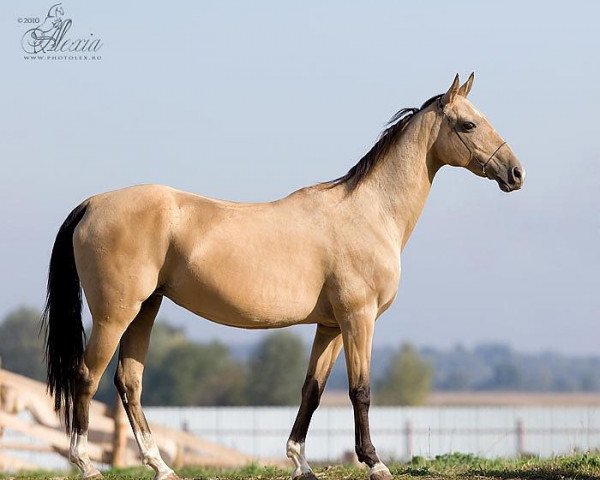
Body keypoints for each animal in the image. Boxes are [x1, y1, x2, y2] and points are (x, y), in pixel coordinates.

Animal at [42, 73, 524, 478]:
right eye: (467, 125)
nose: (515, 173)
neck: (369, 212)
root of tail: (92, 203)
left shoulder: (331, 326)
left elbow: (312, 390)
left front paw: (300, 463)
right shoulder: (358, 319)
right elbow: (360, 390)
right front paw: (374, 463)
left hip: (146, 309)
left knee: (129, 382)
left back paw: (161, 467)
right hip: (115, 315)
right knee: (87, 376)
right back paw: (86, 464)